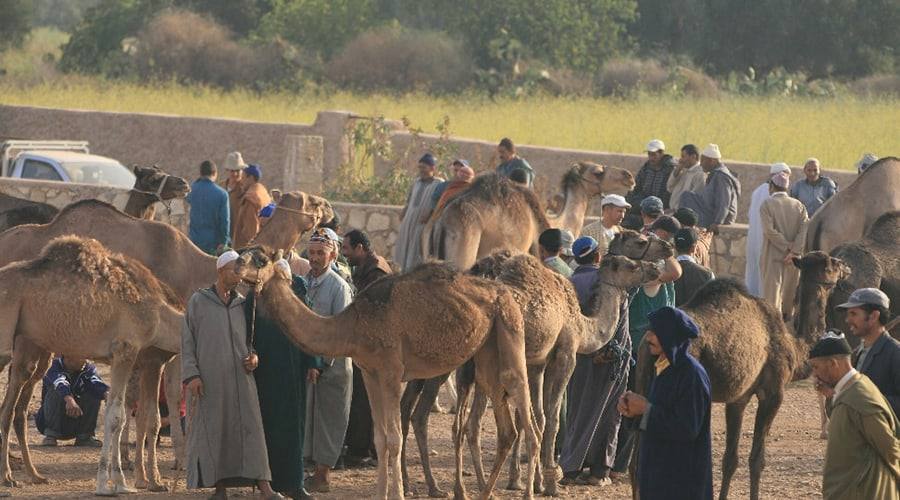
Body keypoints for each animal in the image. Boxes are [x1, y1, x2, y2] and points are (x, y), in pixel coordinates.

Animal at [0, 236, 185, 494]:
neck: (160, 314)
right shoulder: (127, 350)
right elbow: (117, 417)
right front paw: (113, 484)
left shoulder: (127, 359)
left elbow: (121, 414)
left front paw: (122, 482)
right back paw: (8, 476)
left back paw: (29, 475)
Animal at [236, 247, 536, 500]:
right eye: (244, 251)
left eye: (260, 259)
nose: (237, 263)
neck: (353, 326)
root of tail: (506, 292)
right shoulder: (370, 372)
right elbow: (380, 439)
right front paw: (382, 493)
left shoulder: (391, 372)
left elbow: (394, 438)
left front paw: (398, 493)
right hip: (486, 353)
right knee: (505, 425)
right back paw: (485, 493)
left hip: (510, 326)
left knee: (520, 397)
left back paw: (527, 492)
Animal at [628, 278, 812, 500]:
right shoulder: (773, 393)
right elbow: (757, 461)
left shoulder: (738, 399)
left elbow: (730, 460)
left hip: (643, 379)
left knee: (635, 463)